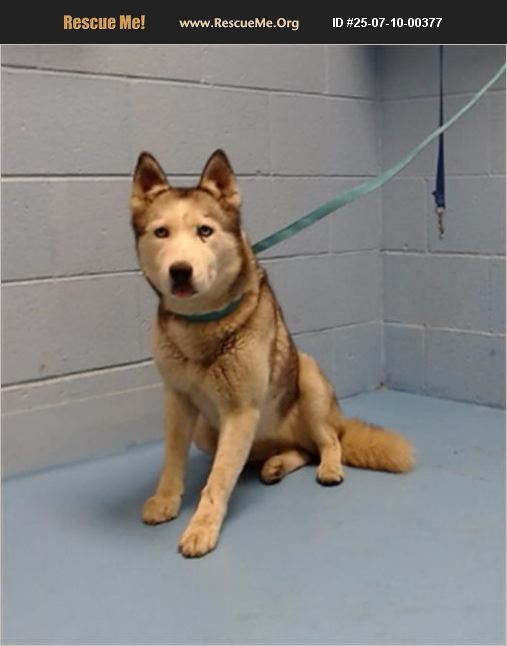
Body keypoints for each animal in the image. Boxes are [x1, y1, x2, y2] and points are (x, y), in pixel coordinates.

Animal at [130, 149, 414, 558]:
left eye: (205, 231)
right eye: (161, 232)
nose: (180, 271)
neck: (202, 326)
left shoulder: (241, 411)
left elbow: (218, 480)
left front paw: (202, 526)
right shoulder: (178, 400)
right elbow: (173, 461)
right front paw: (166, 500)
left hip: (308, 378)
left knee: (327, 443)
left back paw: (328, 468)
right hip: (207, 431)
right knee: (298, 450)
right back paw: (276, 464)